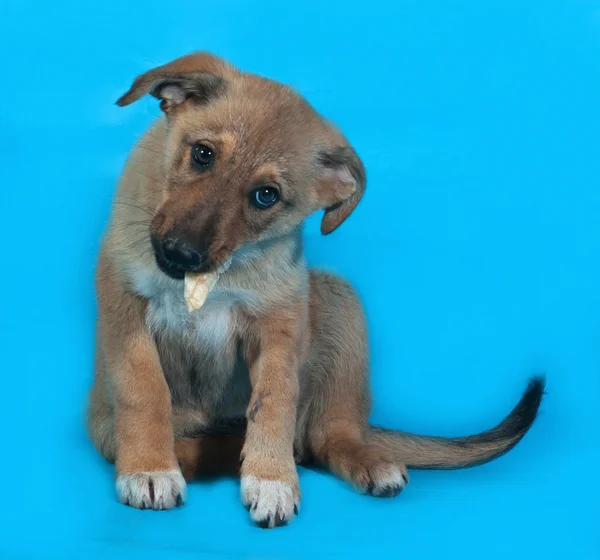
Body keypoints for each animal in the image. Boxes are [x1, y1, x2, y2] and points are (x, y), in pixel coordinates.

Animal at [88, 50, 544, 528]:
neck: (214, 279)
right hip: (106, 424)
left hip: (338, 298)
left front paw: (271, 478)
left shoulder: (279, 322)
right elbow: (144, 390)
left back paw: (355, 458)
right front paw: (150, 468)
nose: (180, 254)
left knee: (326, 435)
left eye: (266, 196)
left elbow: (273, 401)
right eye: (202, 154)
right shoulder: (124, 304)